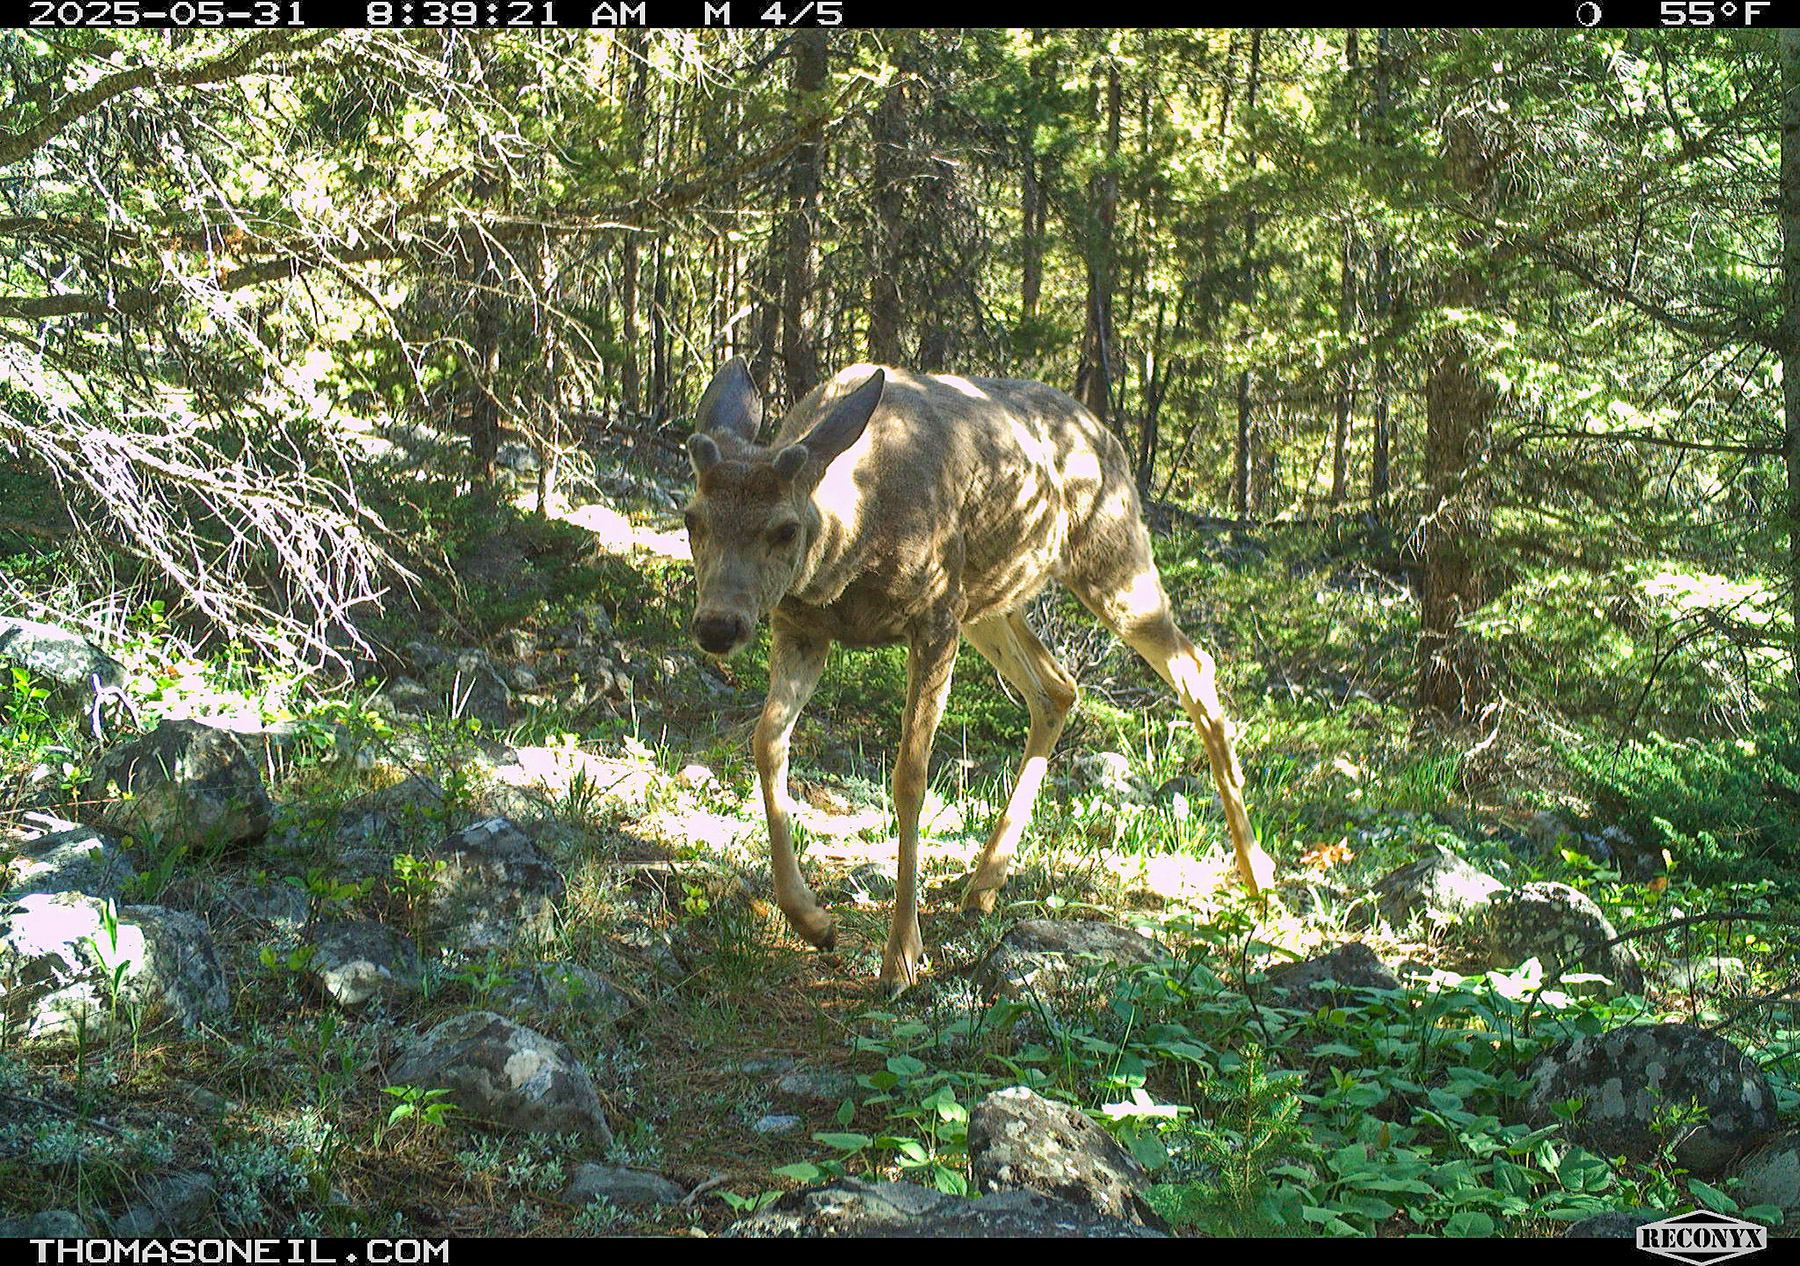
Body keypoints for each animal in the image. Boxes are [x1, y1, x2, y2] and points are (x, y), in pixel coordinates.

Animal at [682, 358, 1273, 993]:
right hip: (992, 601)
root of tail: (1107, 435)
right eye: (692, 519)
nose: (717, 626)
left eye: (786, 529)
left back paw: (1257, 874)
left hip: (1109, 559)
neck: (856, 530)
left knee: (1194, 666)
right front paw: (813, 922)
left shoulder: (935, 614)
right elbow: (766, 740)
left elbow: (910, 777)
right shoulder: (801, 625)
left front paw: (902, 957)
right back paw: (985, 882)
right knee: (1057, 688)